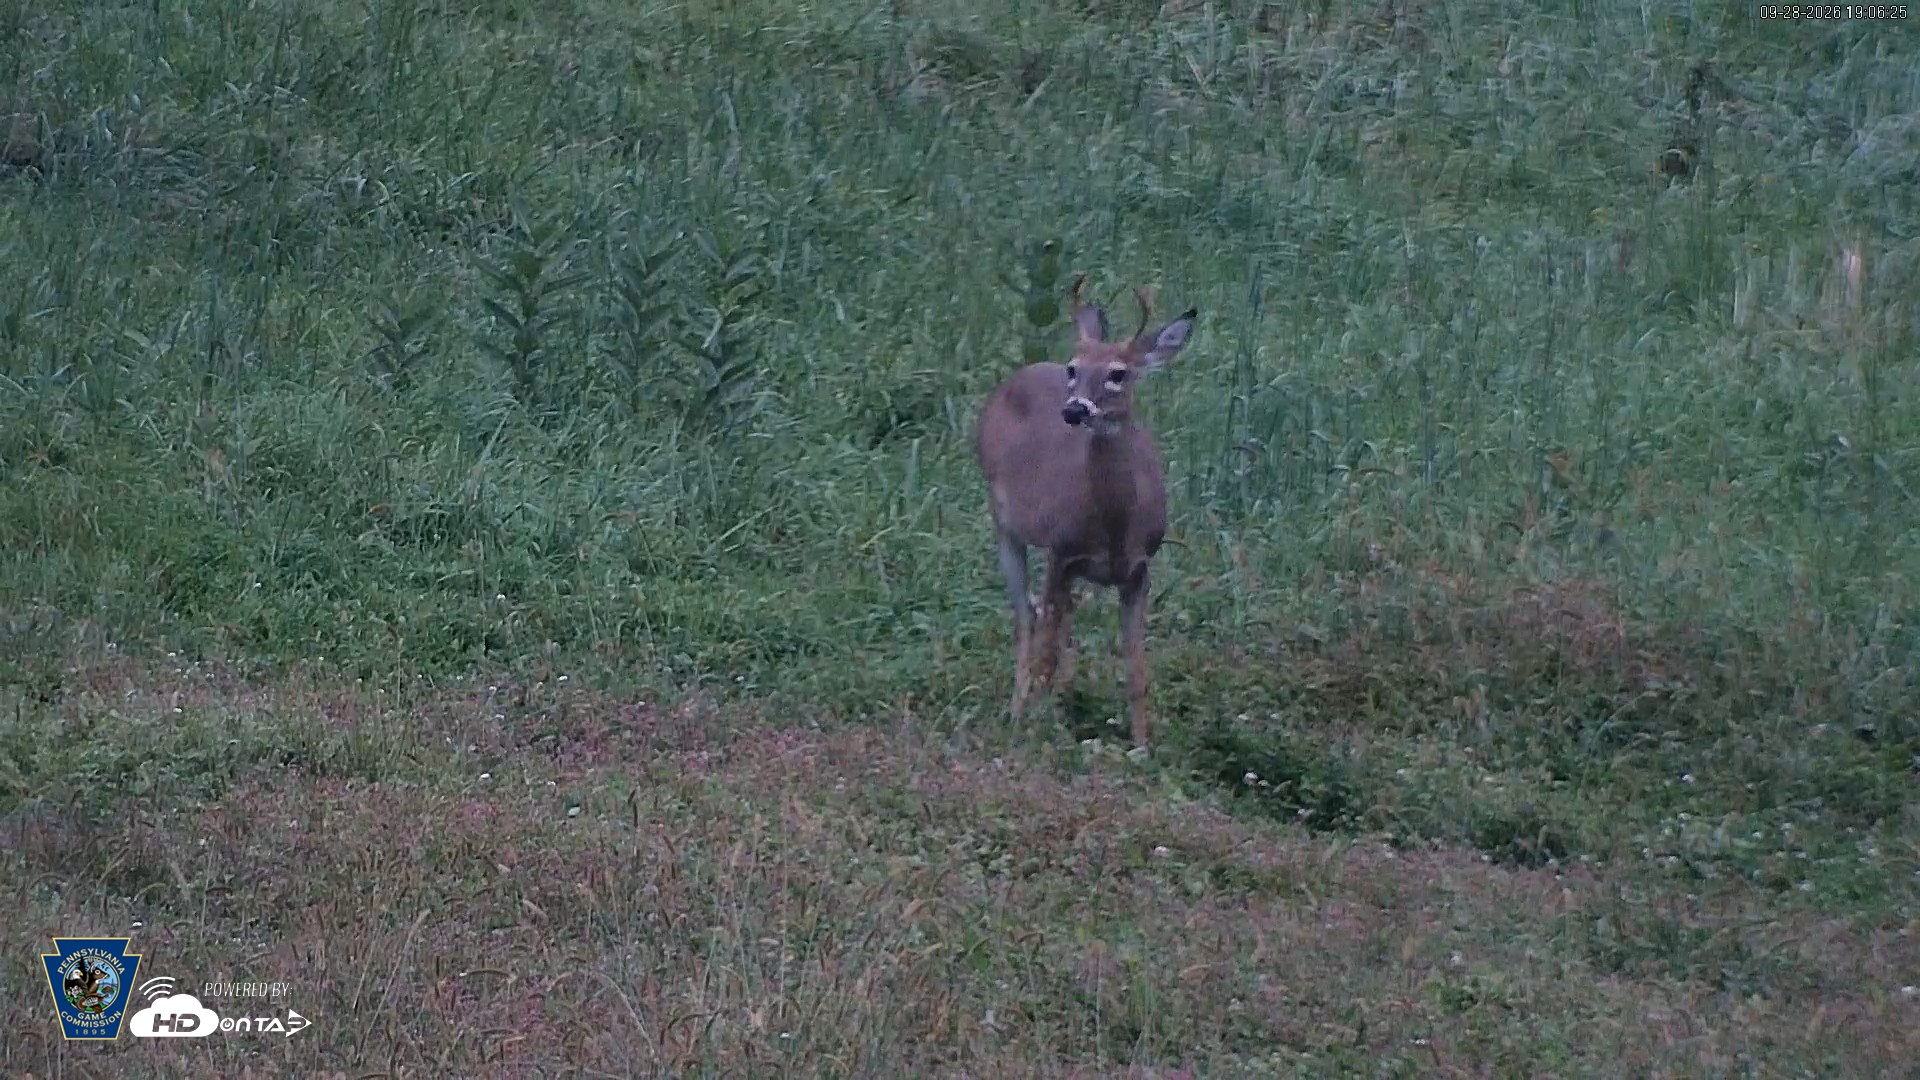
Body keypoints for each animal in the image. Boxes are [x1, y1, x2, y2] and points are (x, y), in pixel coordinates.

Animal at [975, 275, 1198, 750]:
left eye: (1118, 373)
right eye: (1074, 368)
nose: (1074, 409)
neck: (1114, 527)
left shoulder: (1139, 569)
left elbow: (1136, 669)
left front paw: (1142, 745)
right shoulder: (1061, 552)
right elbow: (1045, 647)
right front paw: (1034, 728)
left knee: (1059, 622)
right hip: (1005, 523)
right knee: (1029, 619)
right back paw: (1019, 712)